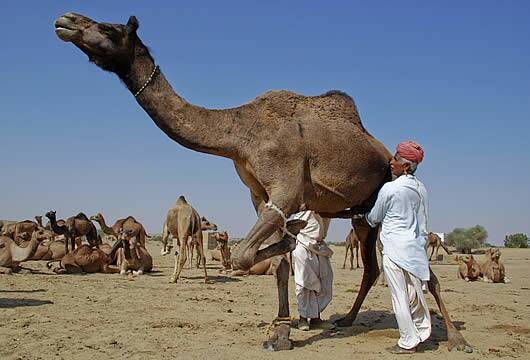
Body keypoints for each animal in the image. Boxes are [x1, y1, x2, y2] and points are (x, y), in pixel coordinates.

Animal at [54, 11, 470, 352]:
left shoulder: (284, 187)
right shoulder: (259, 194)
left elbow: (244, 255)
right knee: (371, 267)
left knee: (420, 268)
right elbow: (279, 262)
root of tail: (385, 152)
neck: (241, 134)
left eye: (109, 28)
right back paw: (347, 319)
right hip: (362, 215)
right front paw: (280, 331)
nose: (66, 19)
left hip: (386, 199)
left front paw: (292, 240)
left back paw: (456, 338)